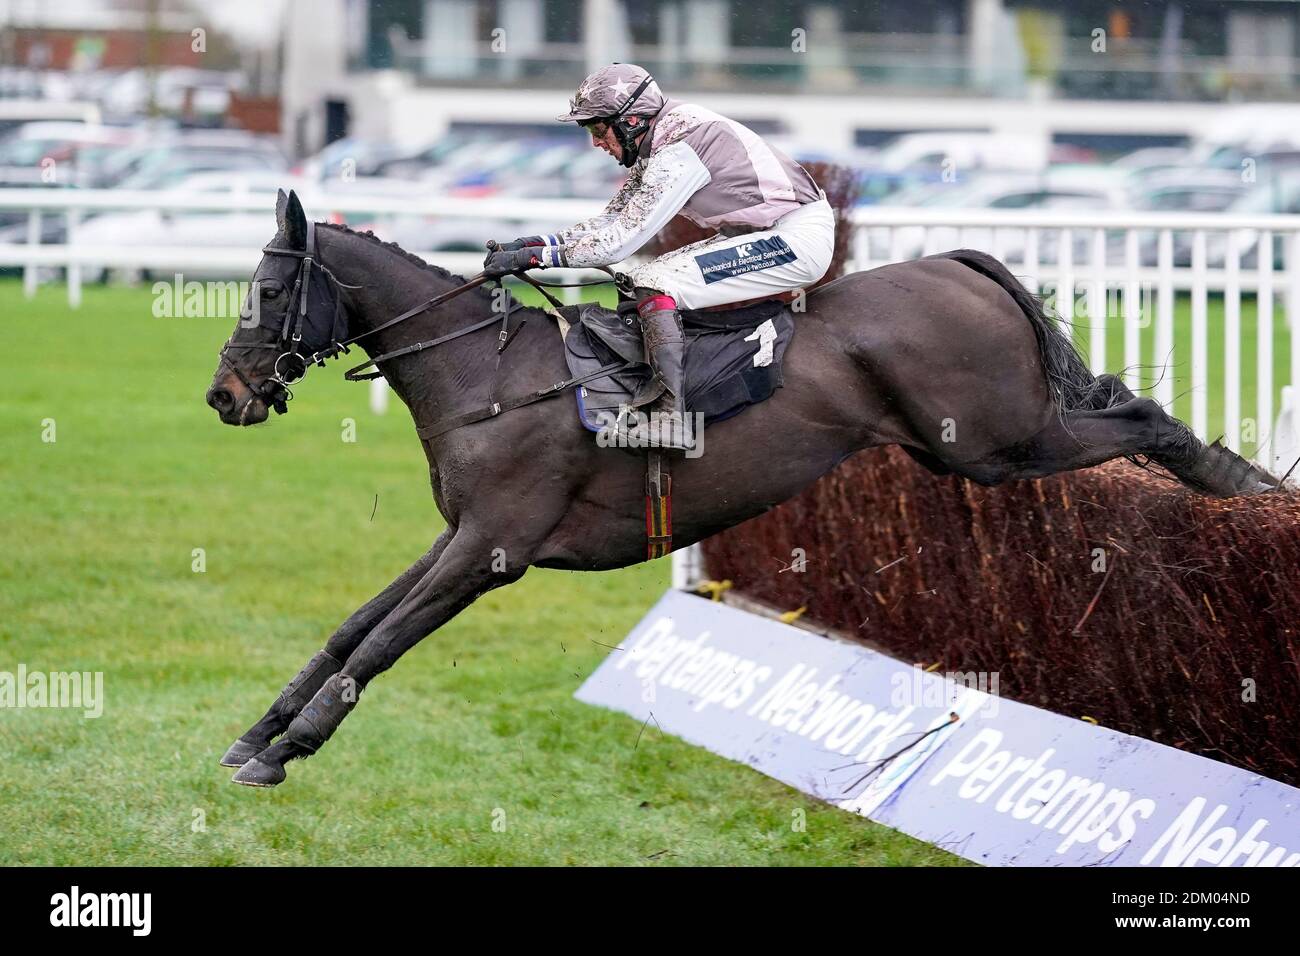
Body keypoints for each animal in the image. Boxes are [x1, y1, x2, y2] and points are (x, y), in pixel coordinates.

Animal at [205, 191, 1279, 790]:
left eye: (268, 289)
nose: (225, 395)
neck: (488, 372)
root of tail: (956, 261)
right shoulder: (460, 536)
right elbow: (350, 628)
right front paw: (256, 732)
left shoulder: (493, 549)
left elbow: (380, 644)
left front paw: (282, 751)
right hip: (985, 446)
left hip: (1000, 442)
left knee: (1146, 420)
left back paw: (1249, 496)